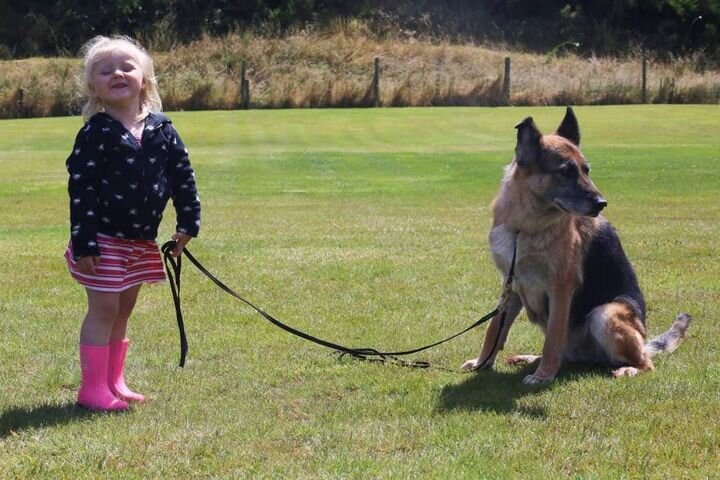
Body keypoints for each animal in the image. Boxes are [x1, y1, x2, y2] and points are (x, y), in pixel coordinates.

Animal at [461, 107, 691, 384]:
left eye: (586, 170)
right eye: (565, 171)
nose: (602, 203)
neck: (523, 225)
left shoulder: (561, 288)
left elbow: (552, 337)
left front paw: (543, 376)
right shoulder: (511, 284)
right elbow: (495, 328)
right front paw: (481, 363)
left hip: (606, 314)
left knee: (644, 363)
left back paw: (628, 368)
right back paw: (530, 358)